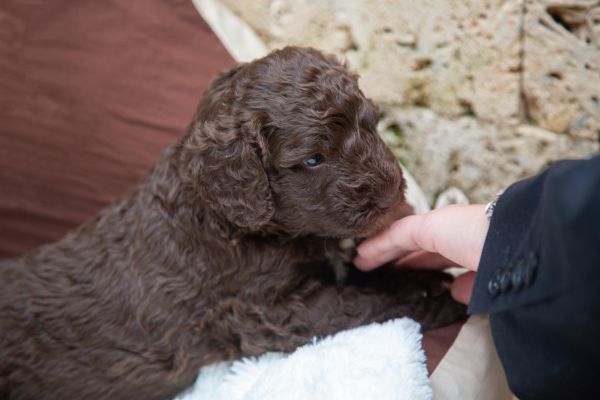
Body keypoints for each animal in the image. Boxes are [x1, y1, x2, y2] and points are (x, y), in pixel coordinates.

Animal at [0, 47, 464, 400]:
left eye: (372, 124)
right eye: (314, 159)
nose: (391, 195)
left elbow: (365, 278)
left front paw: (421, 276)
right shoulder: (266, 312)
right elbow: (363, 304)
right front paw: (441, 300)